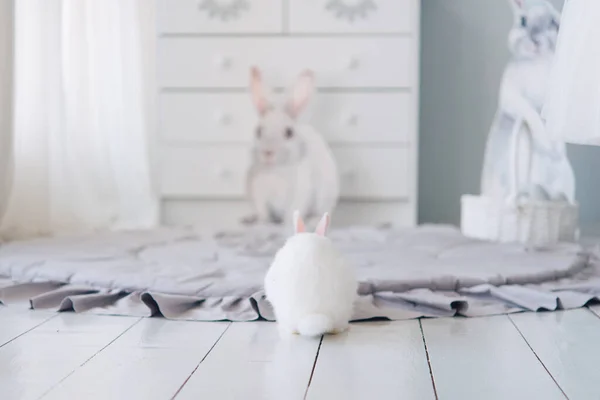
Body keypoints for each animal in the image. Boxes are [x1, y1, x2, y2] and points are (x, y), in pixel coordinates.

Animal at [243, 67, 338, 227]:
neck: (275, 171)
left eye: (289, 132)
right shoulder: (258, 193)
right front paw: (262, 222)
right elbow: (263, 213)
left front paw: (287, 225)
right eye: (258, 131)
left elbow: (292, 213)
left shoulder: (300, 194)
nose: (267, 152)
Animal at [480, 0, 576, 203]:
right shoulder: (512, 98)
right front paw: (546, 144)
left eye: (554, 24)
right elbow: (531, 115)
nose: (534, 40)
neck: (536, 63)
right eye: (523, 21)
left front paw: (556, 150)